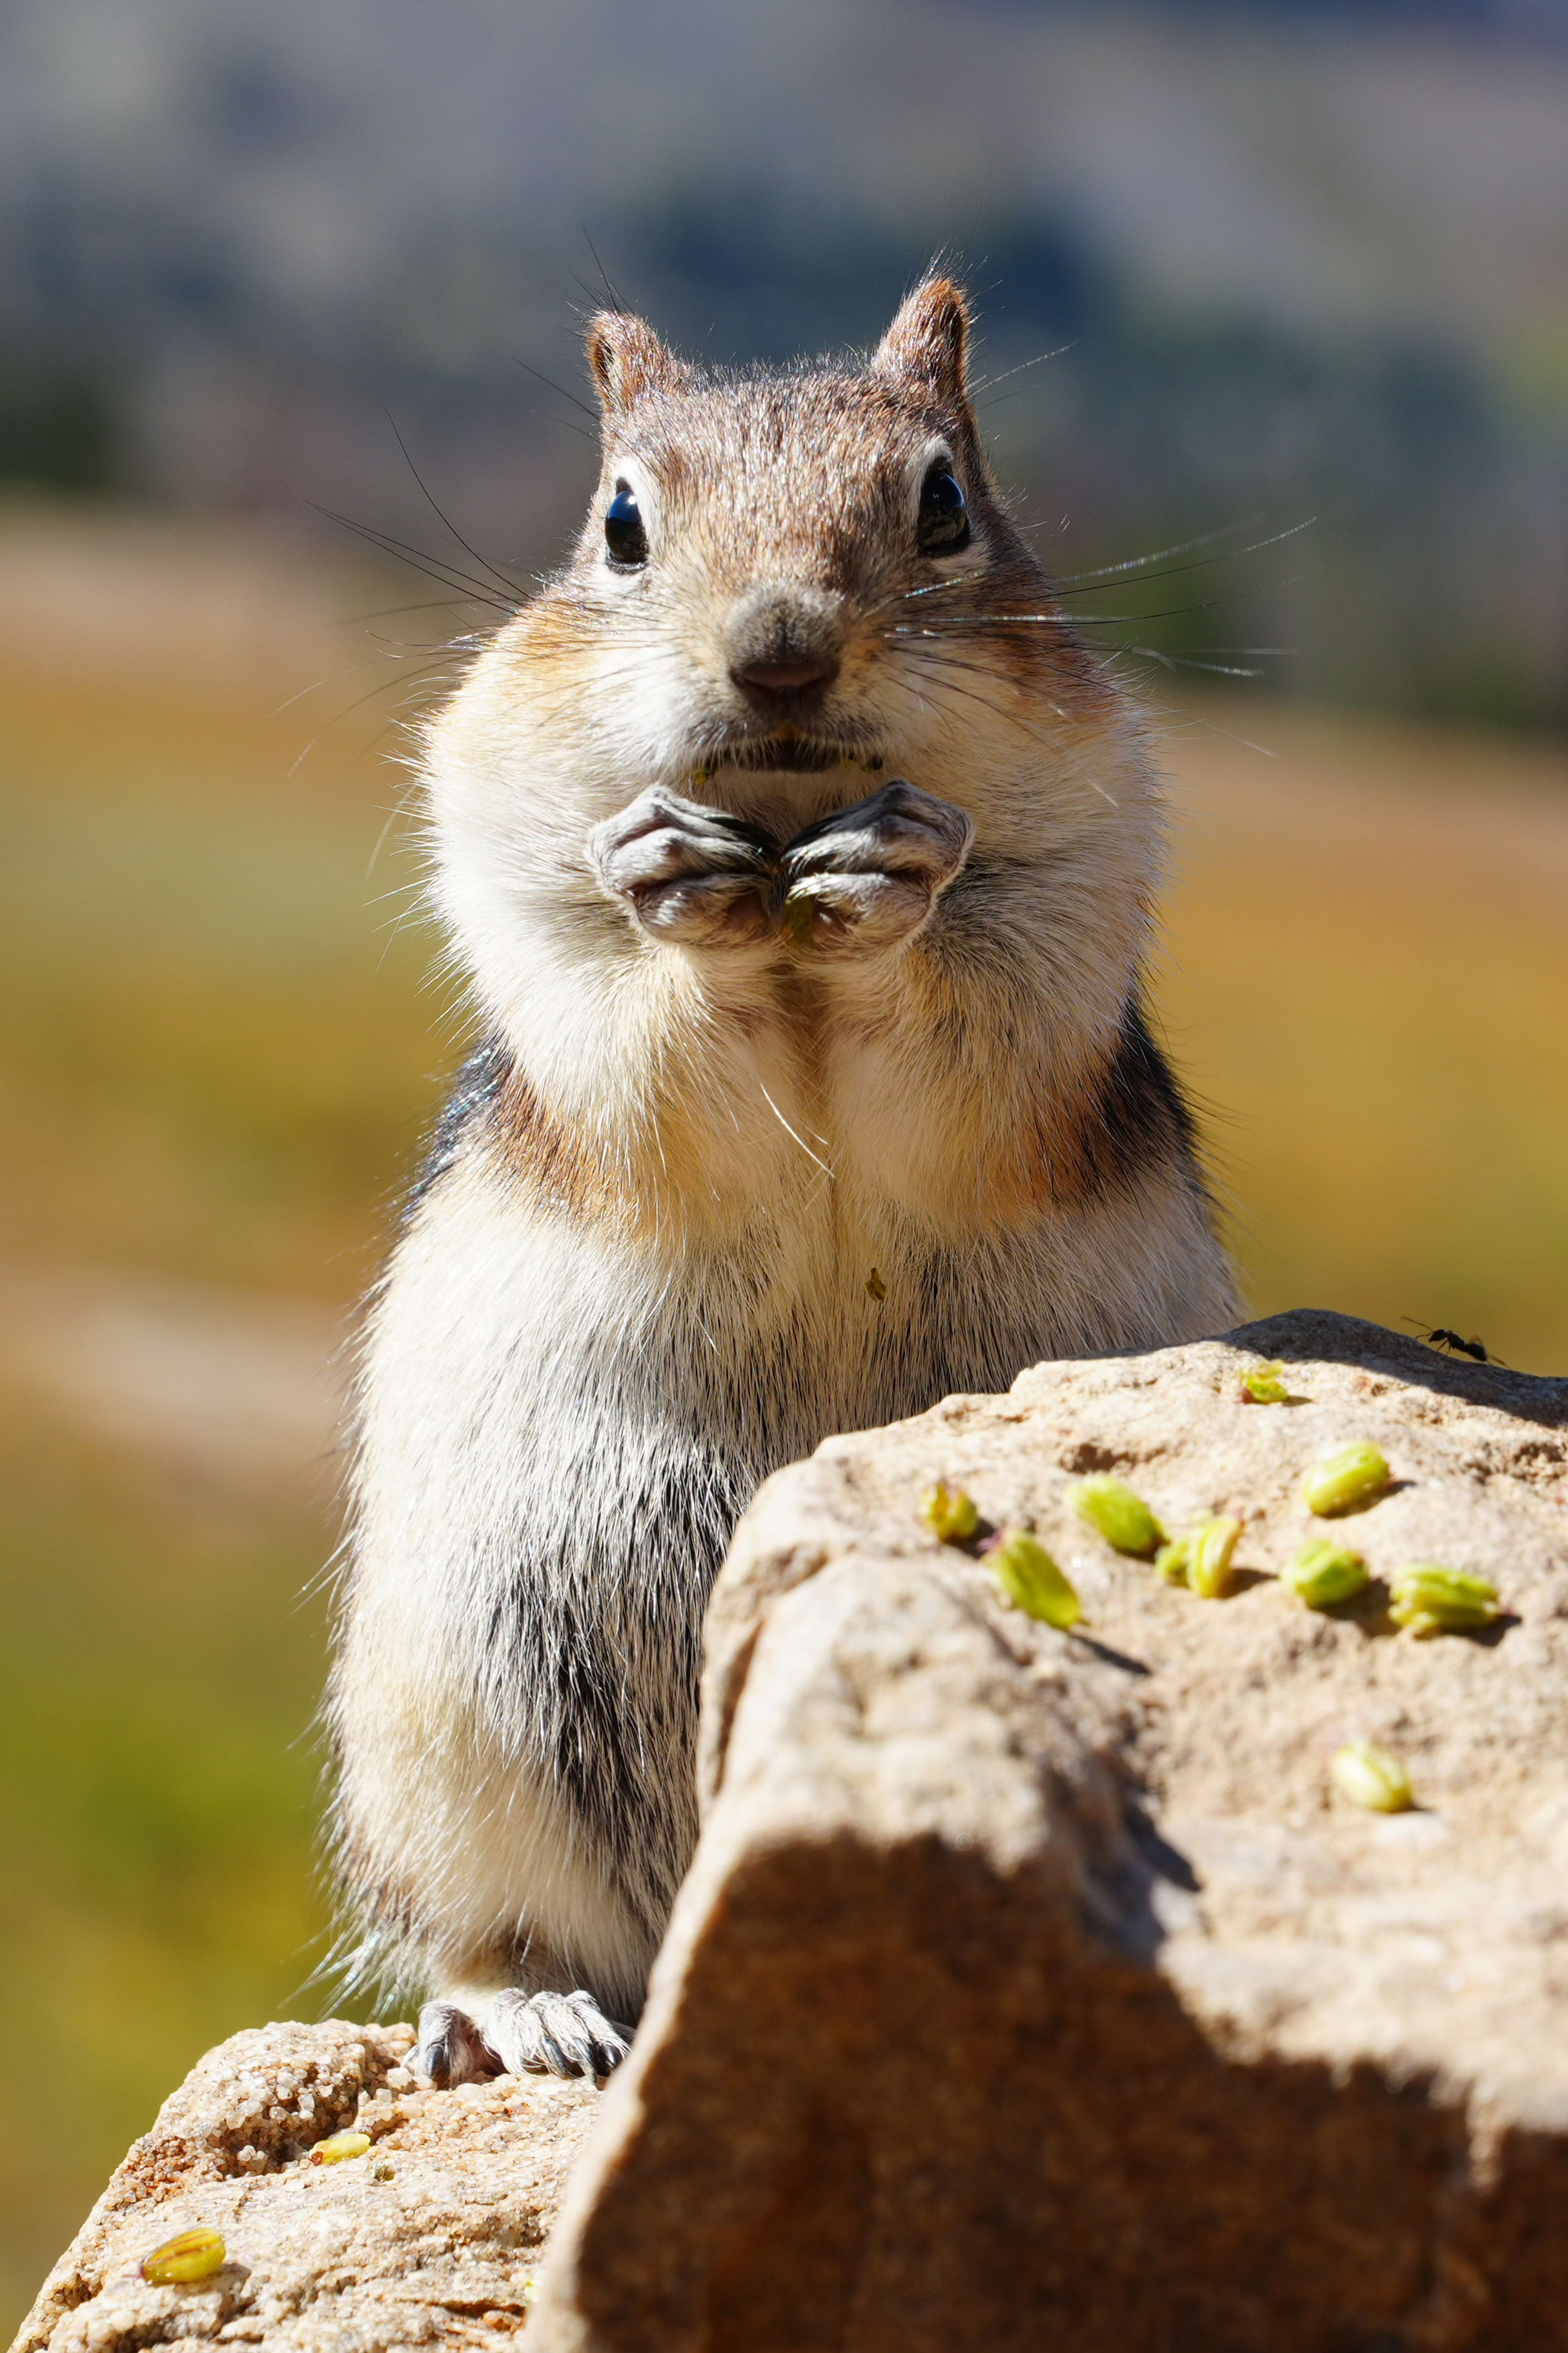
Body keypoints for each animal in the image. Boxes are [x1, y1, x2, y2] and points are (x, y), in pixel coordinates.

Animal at [328, 275, 1240, 2085]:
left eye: (943, 501)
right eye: (619, 523)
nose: (779, 647)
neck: (785, 893)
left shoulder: (1070, 911)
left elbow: (965, 1033)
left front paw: (893, 885)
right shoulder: (529, 900)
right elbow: (641, 1039)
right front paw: (672, 889)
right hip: (452, 1717)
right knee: (486, 1921)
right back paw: (528, 2013)